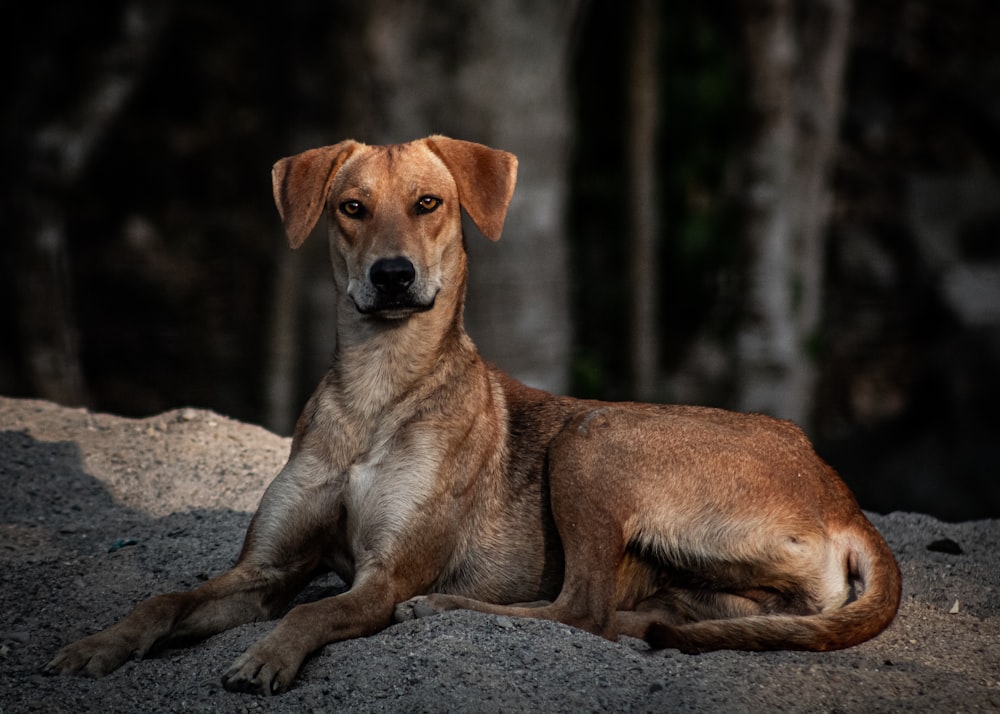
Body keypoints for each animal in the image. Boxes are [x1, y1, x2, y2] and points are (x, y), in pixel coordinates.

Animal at [45, 134, 908, 688]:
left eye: (429, 203)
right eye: (351, 207)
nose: (393, 276)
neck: (378, 389)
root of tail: (842, 496)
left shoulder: (384, 576)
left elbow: (310, 617)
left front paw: (269, 658)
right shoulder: (265, 571)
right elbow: (166, 597)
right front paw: (97, 645)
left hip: (593, 437)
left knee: (581, 607)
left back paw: (446, 606)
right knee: (633, 616)